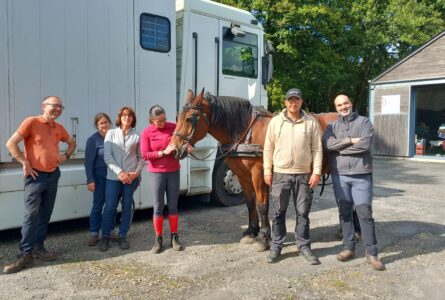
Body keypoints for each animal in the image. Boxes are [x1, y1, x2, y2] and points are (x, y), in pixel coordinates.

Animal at [173, 88, 336, 251]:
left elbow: (262, 205)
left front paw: (264, 238)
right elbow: (250, 202)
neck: (245, 131)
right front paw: (251, 232)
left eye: (189, 118)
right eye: (177, 117)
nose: (175, 148)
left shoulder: (259, 174)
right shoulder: (242, 176)